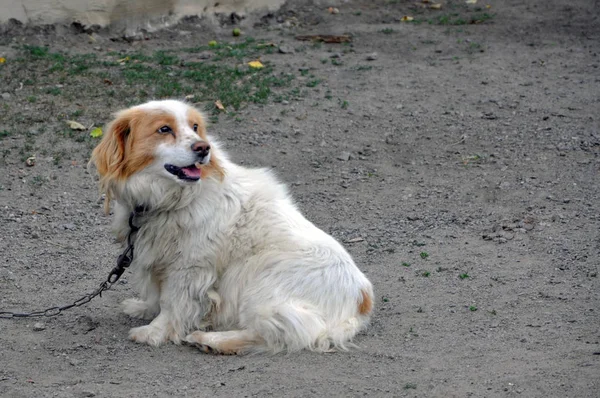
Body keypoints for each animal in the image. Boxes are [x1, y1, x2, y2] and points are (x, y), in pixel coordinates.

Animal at [89, 99, 372, 354]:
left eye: (195, 127)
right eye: (164, 129)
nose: (203, 148)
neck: (171, 198)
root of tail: (361, 302)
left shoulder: (189, 267)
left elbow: (172, 302)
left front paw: (154, 332)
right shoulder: (157, 256)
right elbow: (156, 293)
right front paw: (143, 309)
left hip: (261, 282)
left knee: (278, 335)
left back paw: (210, 341)